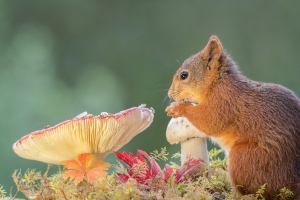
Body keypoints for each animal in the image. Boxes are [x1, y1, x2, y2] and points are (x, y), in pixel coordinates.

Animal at [165, 36, 300, 198]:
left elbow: (209, 121)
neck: (217, 83)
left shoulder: (224, 103)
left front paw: (177, 108)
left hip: (244, 158)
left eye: (184, 75)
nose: (170, 93)